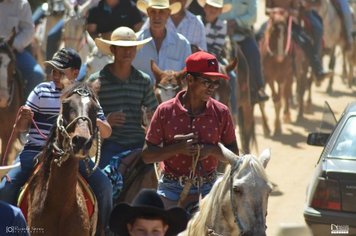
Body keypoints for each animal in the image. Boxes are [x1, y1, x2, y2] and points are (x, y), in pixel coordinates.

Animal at [260, 8, 308, 136]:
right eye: (273, 30)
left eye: (286, 32)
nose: (281, 56)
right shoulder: (267, 78)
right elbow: (268, 100)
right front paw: (266, 128)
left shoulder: (282, 77)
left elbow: (279, 100)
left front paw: (277, 127)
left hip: (296, 73)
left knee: (294, 91)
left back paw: (293, 114)